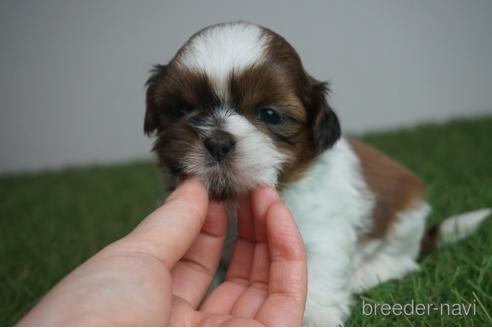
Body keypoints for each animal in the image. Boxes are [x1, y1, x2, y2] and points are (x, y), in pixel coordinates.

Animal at [143, 22, 492, 326]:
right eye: (182, 110)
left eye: (269, 115)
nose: (217, 142)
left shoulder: (321, 230)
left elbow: (320, 271)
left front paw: (313, 316)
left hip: (405, 215)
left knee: (402, 259)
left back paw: (367, 272)